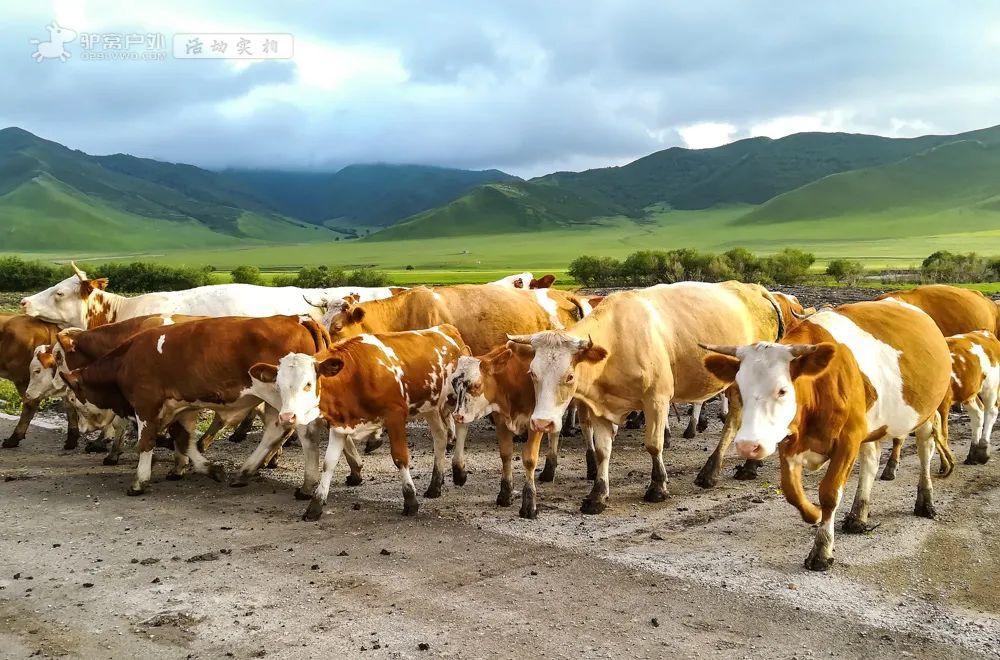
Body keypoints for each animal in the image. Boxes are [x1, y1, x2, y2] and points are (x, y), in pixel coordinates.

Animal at [250, 324, 468, 520]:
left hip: (458, 397)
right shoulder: (339, 425)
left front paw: (410, 501)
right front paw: (315, 506)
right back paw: (435, 485)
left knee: (461, 427)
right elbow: (329, 464)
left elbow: (400, 457)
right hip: (430, 406)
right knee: (440, 437)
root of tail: (447, 329)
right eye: (278, 386)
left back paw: (459, 470)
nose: (287, 417)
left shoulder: (395, 415)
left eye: (308, 384)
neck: (355, 376)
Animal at [504, 282, 784, 512]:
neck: (617, 342)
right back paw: (745, 465)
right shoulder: (600, 407)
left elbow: (654, 444)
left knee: (735, 421)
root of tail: (755, 288)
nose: (542, 423)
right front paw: (598, 495)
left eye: (570, 376)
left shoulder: (657, 399)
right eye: (532, 373)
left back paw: (716, 470)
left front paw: (658, 486)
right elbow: (603, 450)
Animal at [700, 296, 948, 568]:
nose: (747, 445)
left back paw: (925, 502)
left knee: (925, 450)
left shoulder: (848, 439)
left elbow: (829, 493)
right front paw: (814, 513)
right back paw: (858, 515)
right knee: (871, 461)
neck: (818, 388)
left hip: (925, 413)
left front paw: (821, 550)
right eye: (739, 390)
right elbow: (791, 491)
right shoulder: (789, 440)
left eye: (782, 390)